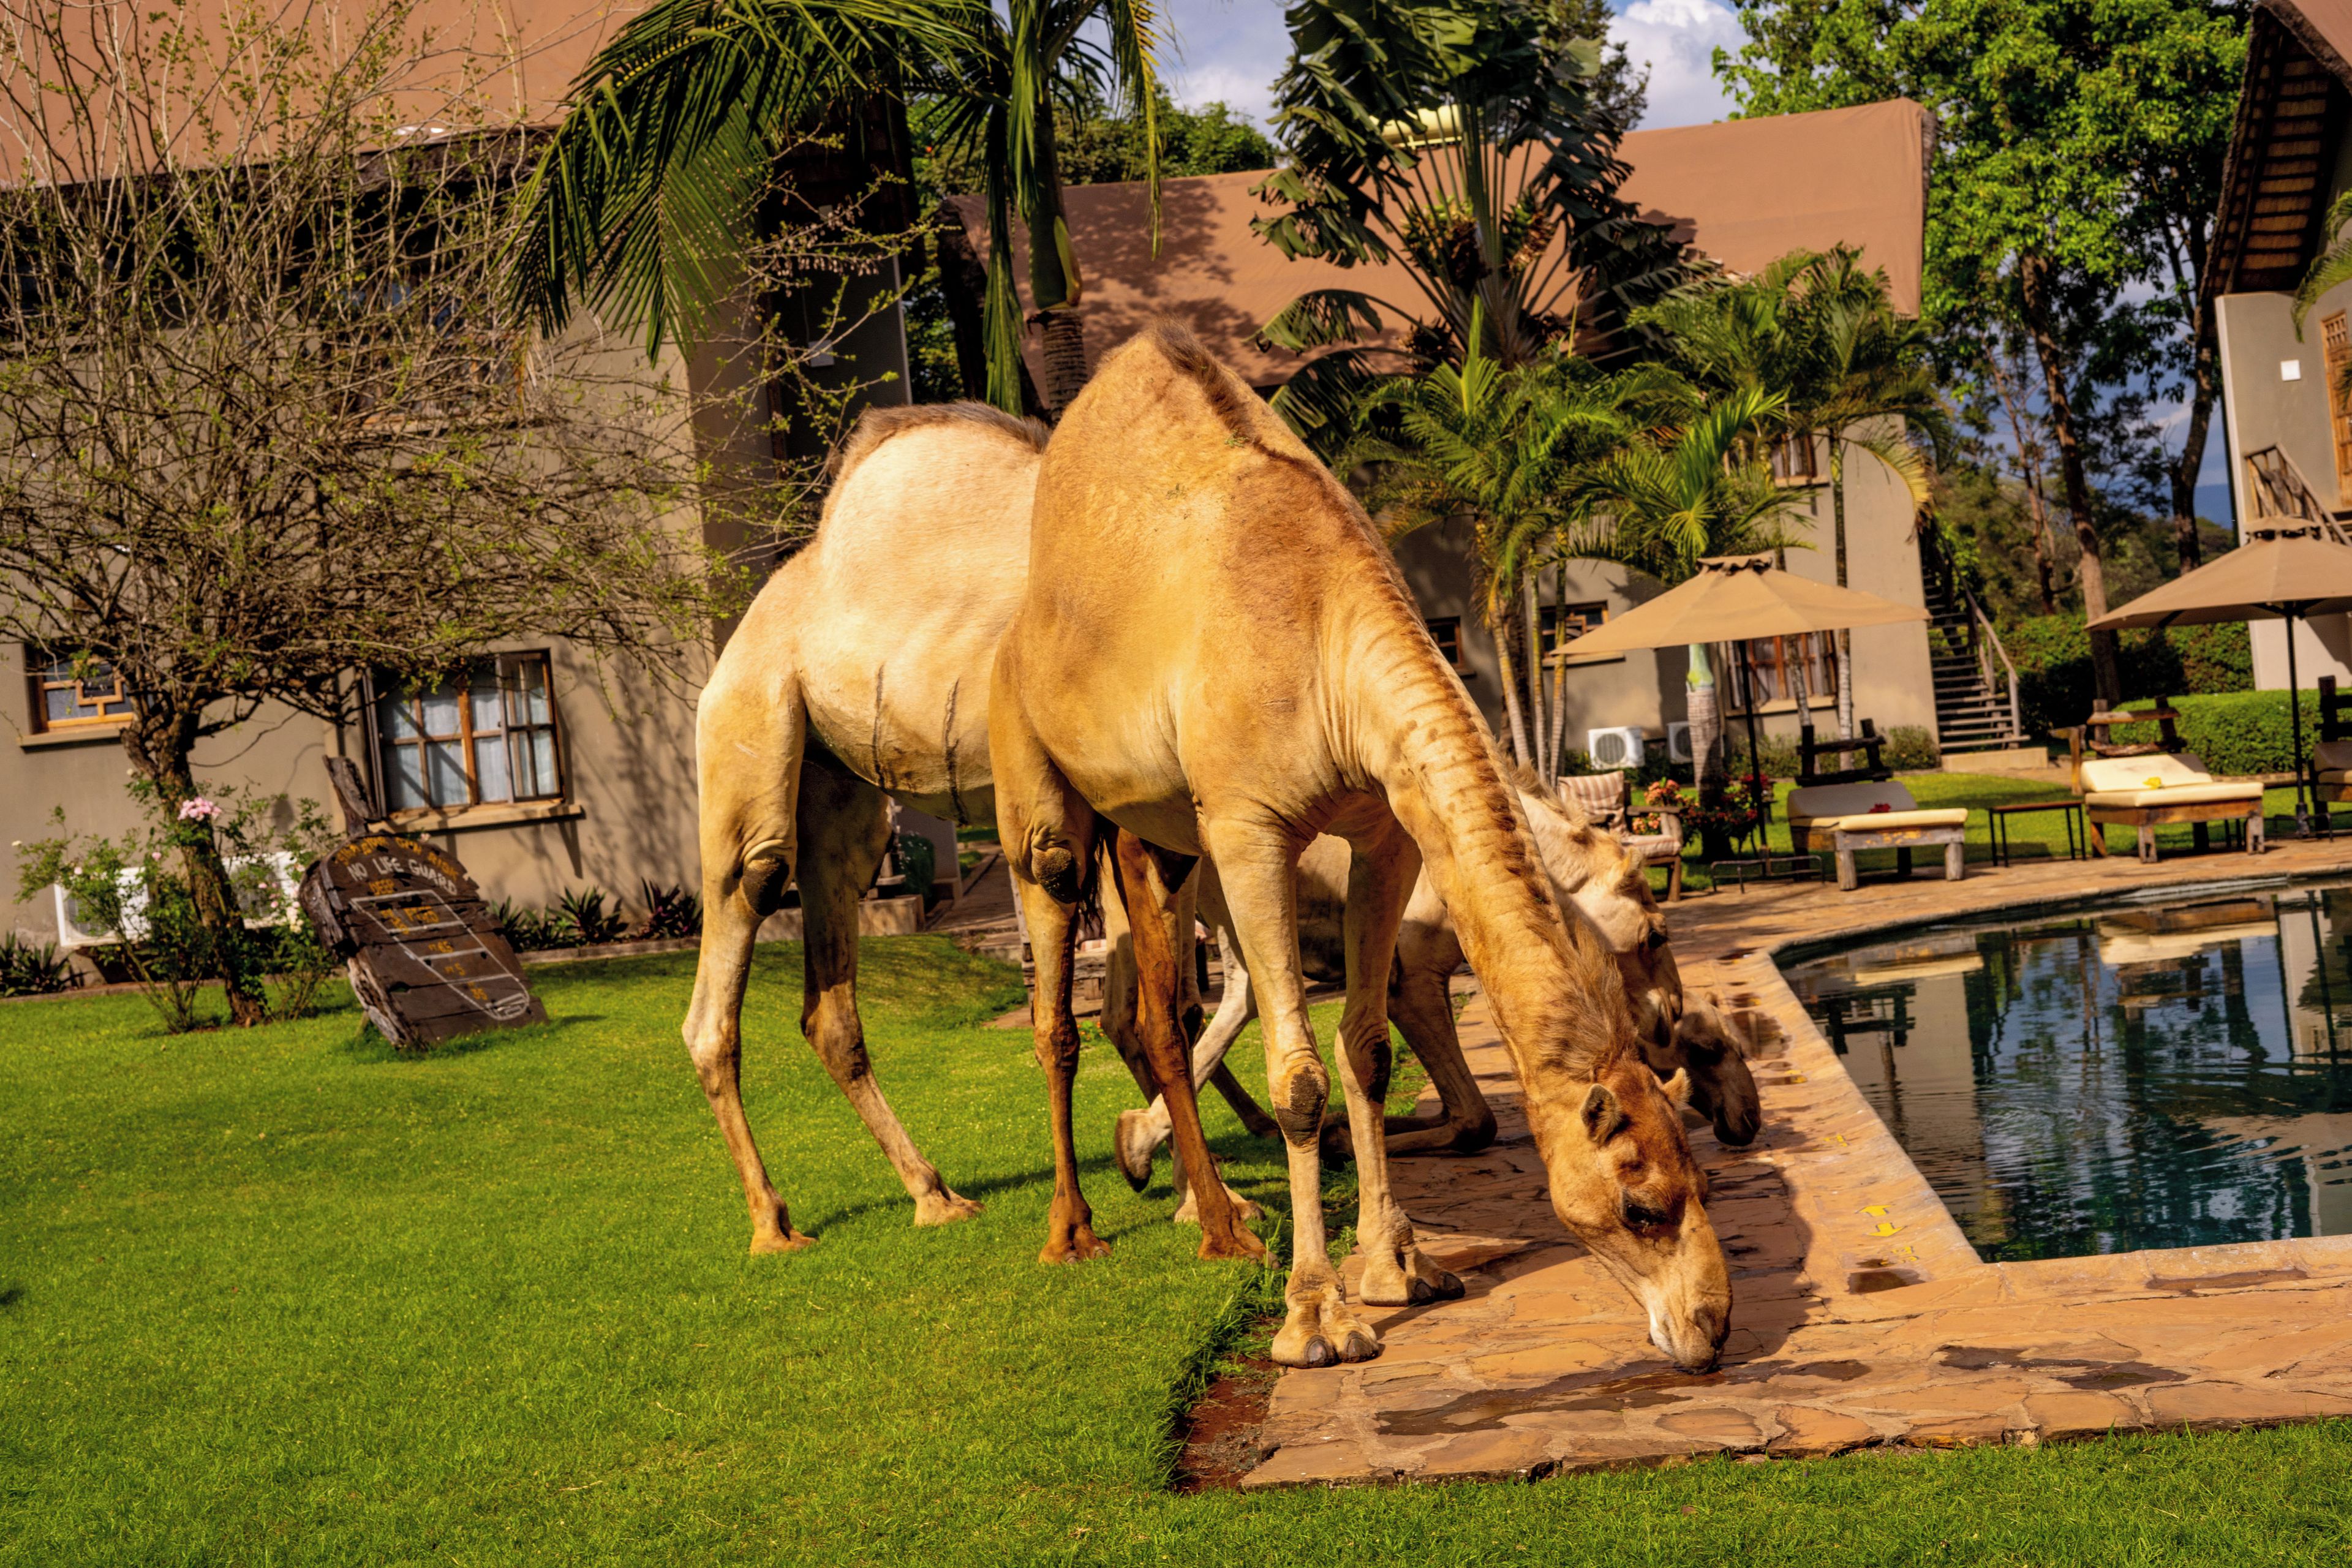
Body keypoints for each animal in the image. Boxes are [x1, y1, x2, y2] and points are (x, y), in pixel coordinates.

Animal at [990, 323, 1731, 1372]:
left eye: (1701, 1183)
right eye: (1640, 1205)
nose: (1713, 1326)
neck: (1324, 644)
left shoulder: (1385, 830)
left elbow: (1370, 1053)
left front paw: (1401, 1270)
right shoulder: (1250, 828)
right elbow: (1299, 1078)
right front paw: (1316, 1318)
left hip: (1161, 839)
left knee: (1156, 1004)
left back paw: (1199, 1206)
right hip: (1036, 786)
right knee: (1059, 977)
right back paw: (1079, 1231)